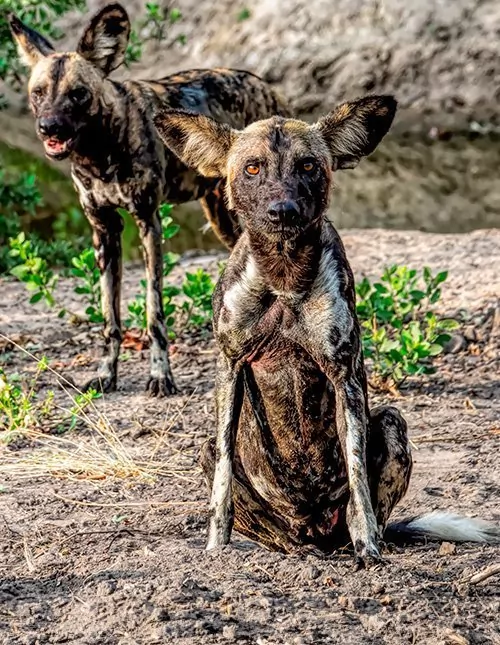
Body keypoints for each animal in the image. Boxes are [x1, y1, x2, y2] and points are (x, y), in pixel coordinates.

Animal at [8, 3, 290, 398]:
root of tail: (265, 86)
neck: (98, 153)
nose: (49, 127)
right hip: (223, 219)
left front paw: (160, 375)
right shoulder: (104, 230)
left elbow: (154, 311)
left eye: (78, 94)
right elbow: (110, 317)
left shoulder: (148, 223)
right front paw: (106, 373)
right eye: (38, 92)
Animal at [153, 97, 500, 564]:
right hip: (215, 457)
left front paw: (369, 549)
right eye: (252, 168)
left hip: (390, 421)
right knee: (277, 530)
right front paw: (215, 548)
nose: (282, 211)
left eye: (308, 166)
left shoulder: (343, 375)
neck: (283, 274)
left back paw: (360, 542)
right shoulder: (231, 368)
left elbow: (357, 480)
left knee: (367, 506)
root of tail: (314, 534)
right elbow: (221, 488)